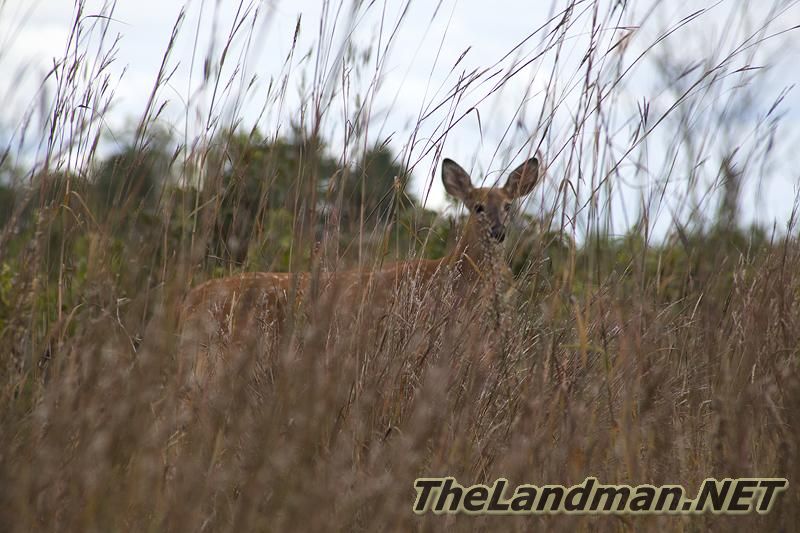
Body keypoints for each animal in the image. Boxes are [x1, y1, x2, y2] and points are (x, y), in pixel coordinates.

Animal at [178, 155, 541, 392]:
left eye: (509, 205)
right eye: (477, 207)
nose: (498, 231)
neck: (458, 274)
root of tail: (190, 301)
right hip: (216, 361)